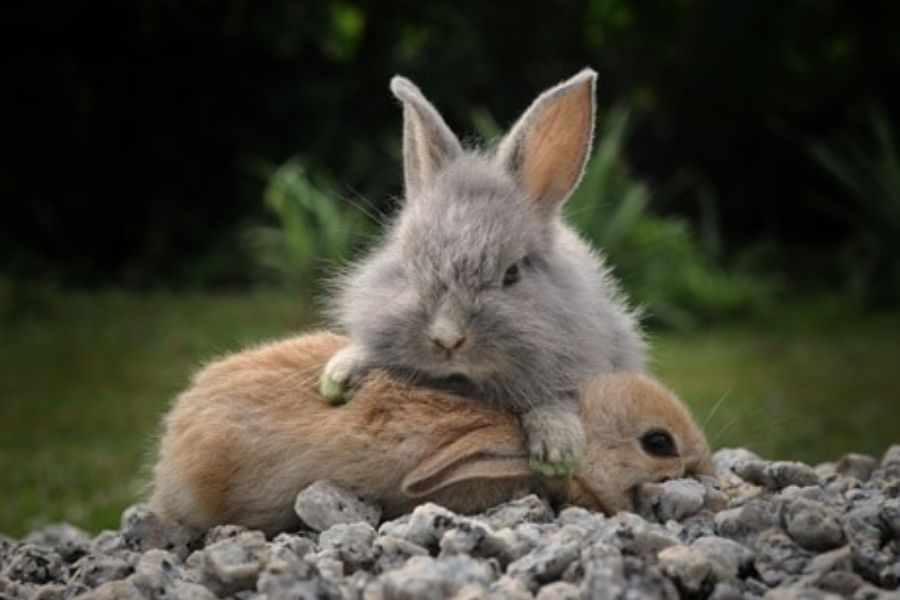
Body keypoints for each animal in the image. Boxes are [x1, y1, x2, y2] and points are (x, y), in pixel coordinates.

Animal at [320, 68, 645, 477]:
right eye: (409, 267)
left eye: (512, 274)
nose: (447, 339)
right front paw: (337, 376)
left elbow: (557, 401)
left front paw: (557, 453)